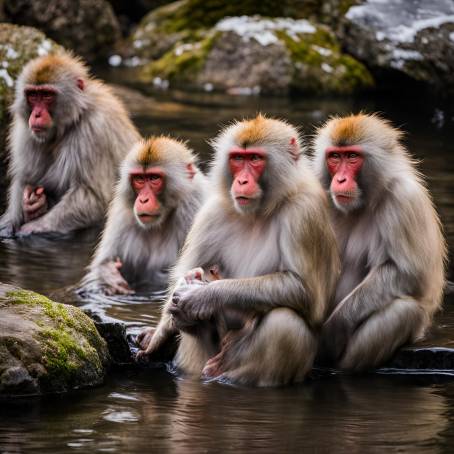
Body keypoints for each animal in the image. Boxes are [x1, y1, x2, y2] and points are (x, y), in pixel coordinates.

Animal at [0, 51, 140, 238]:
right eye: (33, 95)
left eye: (46, 95)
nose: (36, 115)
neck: (73, 118)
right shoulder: (25, 132)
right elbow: (24, 179)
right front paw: (23, 213)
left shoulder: (95, 130)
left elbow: (92, 196)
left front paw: (33, 227)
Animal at [80, 137, 207, 296]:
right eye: (139, 178)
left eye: (154, 178)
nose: (143, 200)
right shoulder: (122, 214)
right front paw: (108, 275)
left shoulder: (193, 207)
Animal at [137, 114, 338, 386]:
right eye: (237, 159)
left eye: (254, 159)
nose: (241, 181)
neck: (257, 212)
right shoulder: (213, 211)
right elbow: (185, 274)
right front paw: (158, 337)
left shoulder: (304, 213)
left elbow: (304, 291)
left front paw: (203, 296)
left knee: (285, 322)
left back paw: (228, 375)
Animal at [312, 112, 446, 368]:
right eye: (335, 157)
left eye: (352, 157)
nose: (340, 180)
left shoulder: (404, 199)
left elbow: (408, 274)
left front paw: (335, 328)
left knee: (404, 311)